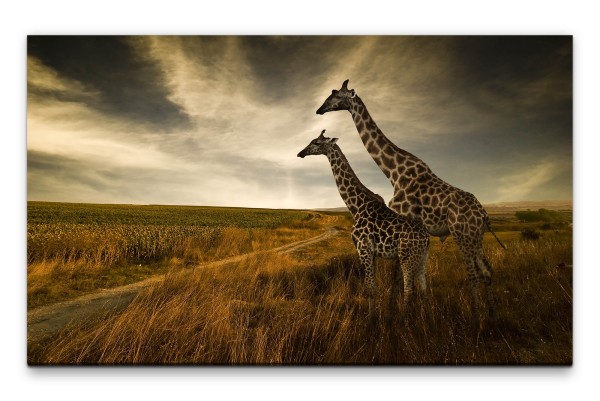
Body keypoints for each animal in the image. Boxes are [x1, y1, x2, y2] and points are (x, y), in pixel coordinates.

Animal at [296, 130, 428, 324]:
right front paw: (373, 316)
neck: (356, 206)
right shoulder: (371, 252)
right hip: (422, 258)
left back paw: (403, 320)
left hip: (407, 257)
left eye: (316, 143)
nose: (301, 153)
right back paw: (429, 317)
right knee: (425, 289)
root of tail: (427, 238)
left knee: (409, 290)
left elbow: (370, 288)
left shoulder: (363, 248)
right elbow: (372, 286)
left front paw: (370, 320)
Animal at [316, 79, 504, 328]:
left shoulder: (402, 220)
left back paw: (475, 320)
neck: (393, 171)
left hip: (462, 235)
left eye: (336, 96)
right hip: (476, 237)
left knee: (473, 273)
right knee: (486, 271)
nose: (319, 110)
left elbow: (397, 277)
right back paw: (492, 317)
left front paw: (392, 316)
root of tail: (484, 215)